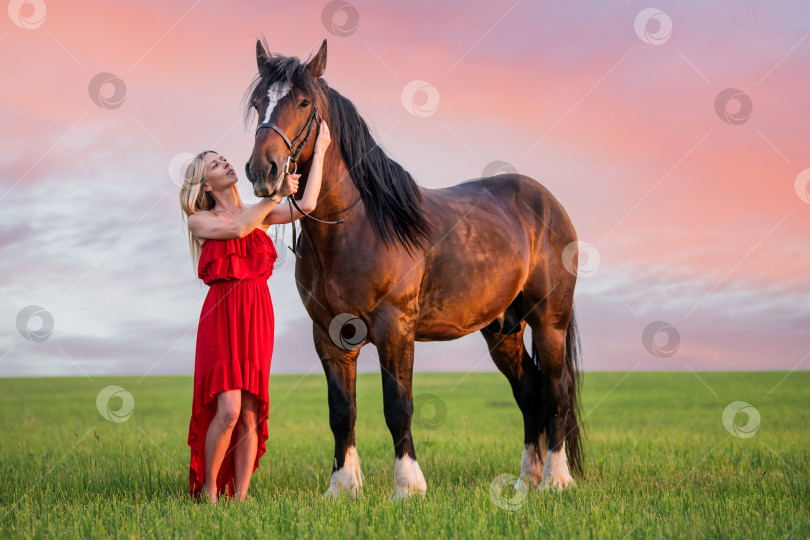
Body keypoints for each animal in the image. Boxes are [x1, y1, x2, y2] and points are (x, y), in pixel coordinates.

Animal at [243, 40, 584, 500]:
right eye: (258, 103)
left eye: (303, 102)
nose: (263, 170)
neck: (356, 225)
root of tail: (547, 202)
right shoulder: (329, 335)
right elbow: (341, 411)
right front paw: (343, 486)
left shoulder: (395, 328)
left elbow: (397, 405)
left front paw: (408, 486)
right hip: (503, 330)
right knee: (529, 392)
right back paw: (526, 479)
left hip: (550, 321)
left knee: (556, 390)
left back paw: (556, 478)